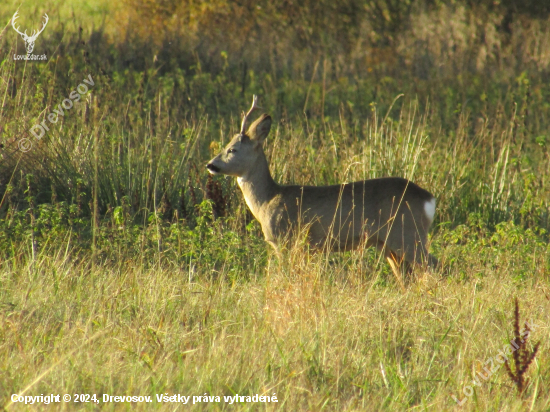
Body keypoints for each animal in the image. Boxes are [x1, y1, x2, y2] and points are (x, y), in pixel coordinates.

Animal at [208, 96, 440, 286]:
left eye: (232, 149)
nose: (211, 165)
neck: (266, 200)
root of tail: (428, 199)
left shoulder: (285, 240)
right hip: (389, 244)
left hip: (407, 233)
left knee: (433, 264)